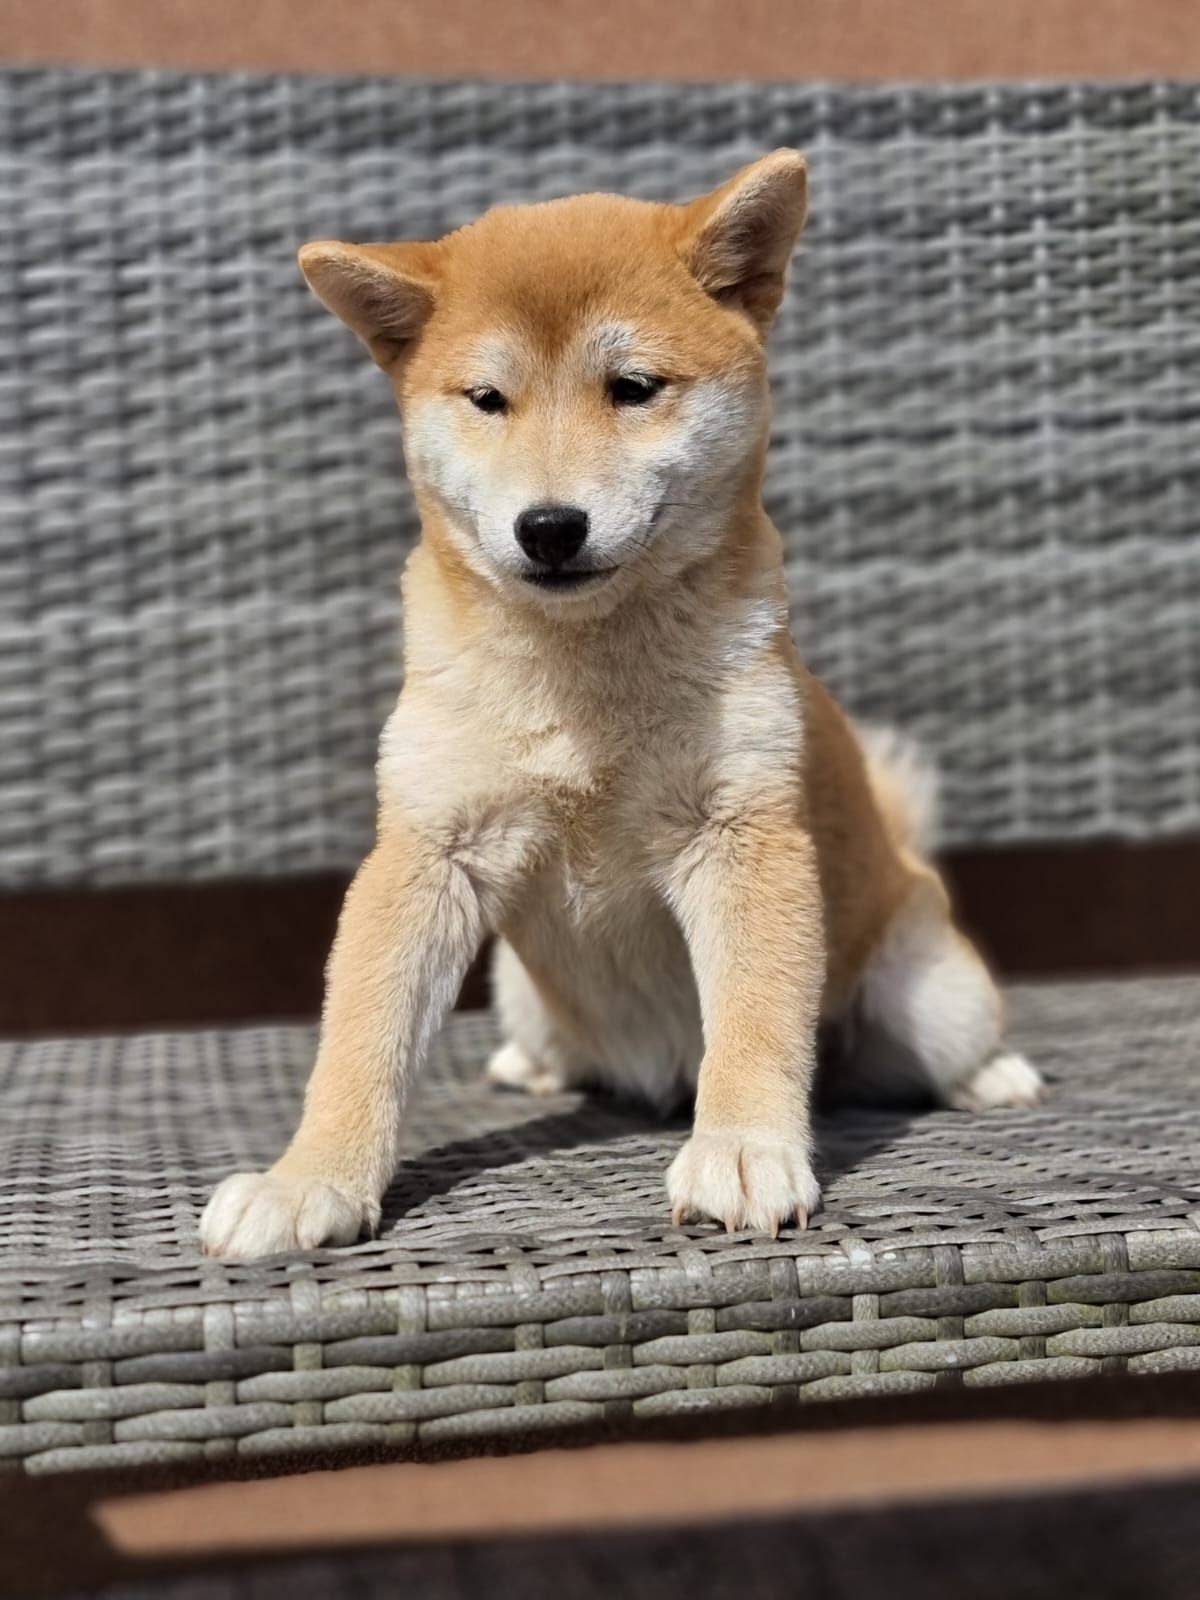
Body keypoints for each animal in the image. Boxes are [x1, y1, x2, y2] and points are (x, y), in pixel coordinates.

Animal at [200, 147, 1043, 1260]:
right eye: (487, 398)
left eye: (633, 388)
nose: (550, 526)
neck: (586, 676)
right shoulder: (429, 845)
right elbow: (360, 1036)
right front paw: (309, 1180)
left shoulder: (739, 830)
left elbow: (755, 1019)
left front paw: (741, 1149)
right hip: (522, 988)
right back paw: (535, 1063)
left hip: (926, 994)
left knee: (937, 1043)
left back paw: (995, 1075)